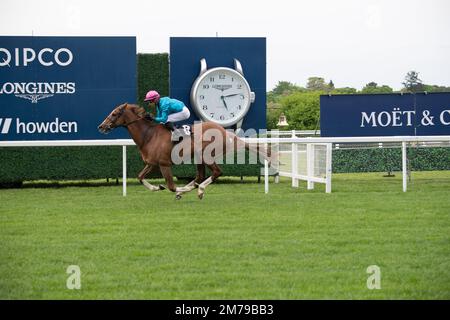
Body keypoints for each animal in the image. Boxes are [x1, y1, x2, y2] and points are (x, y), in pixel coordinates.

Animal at [97, 102, 268, 199]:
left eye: (114, 113)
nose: (101, 126)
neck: (149, 135)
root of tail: (226, 132)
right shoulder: (152, 163)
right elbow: (140, 177)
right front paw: (157, 187)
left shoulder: (164, 164)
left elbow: (171, 186)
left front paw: (177, 190)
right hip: (199, 157)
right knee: (200, 176)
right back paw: (193, 188)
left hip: (206, 155)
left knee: (216, 172)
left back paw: (199, 190)